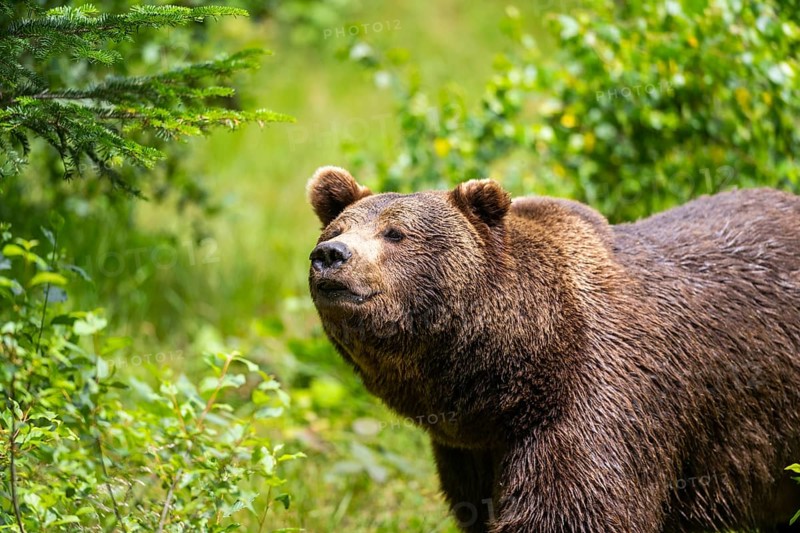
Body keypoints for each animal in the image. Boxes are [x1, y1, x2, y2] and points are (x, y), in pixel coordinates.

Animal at [306, 165, 800, 533]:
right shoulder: (469, 454)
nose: (331, 255)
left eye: (395, 233)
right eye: (337, 228)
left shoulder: (596, 401)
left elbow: (572, 510)